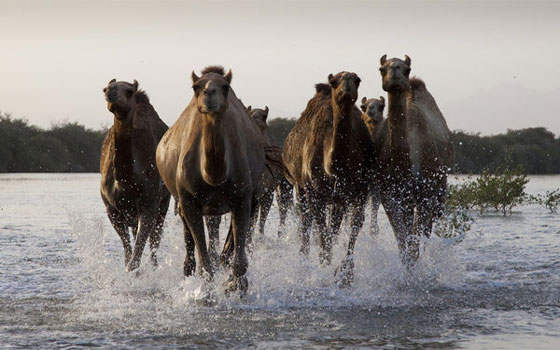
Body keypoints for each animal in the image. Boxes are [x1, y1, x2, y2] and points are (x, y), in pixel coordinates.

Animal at [100, 78, 171, 270]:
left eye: (129, 91)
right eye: (105, 89)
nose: (111, 92)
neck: (127, 180)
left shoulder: (150, 204)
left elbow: (136, 256)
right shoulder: (112, 209)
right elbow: (128, 253)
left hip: (164, 201)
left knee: (155, 241)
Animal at [155, 66, 264, 296]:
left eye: (226, 86)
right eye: (195, 87)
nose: (209, 93)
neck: (214, 176)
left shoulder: (242, 197)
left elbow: (238, 257)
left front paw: (236, 286)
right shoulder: (189, 200)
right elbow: (205, 261)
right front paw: (205, 294)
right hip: (181, 202)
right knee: (191, 246)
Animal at [282, 72, 374, 288]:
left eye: (357, 80)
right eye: (334, 81)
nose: (347, 89)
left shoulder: (353, 191)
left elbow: (351, 224)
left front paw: (345, 272)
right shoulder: (313, 190)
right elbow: (321, 226)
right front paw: (324, 263)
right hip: (299, 185)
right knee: (306, 219)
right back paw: (303, 257)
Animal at [374, 54, 452, 262]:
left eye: (407, 69)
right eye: (382, 69)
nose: (394, 72)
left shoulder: (428, 195)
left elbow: (414, 243)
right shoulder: (390, 195)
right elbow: (403, 240)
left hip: (437, 197)